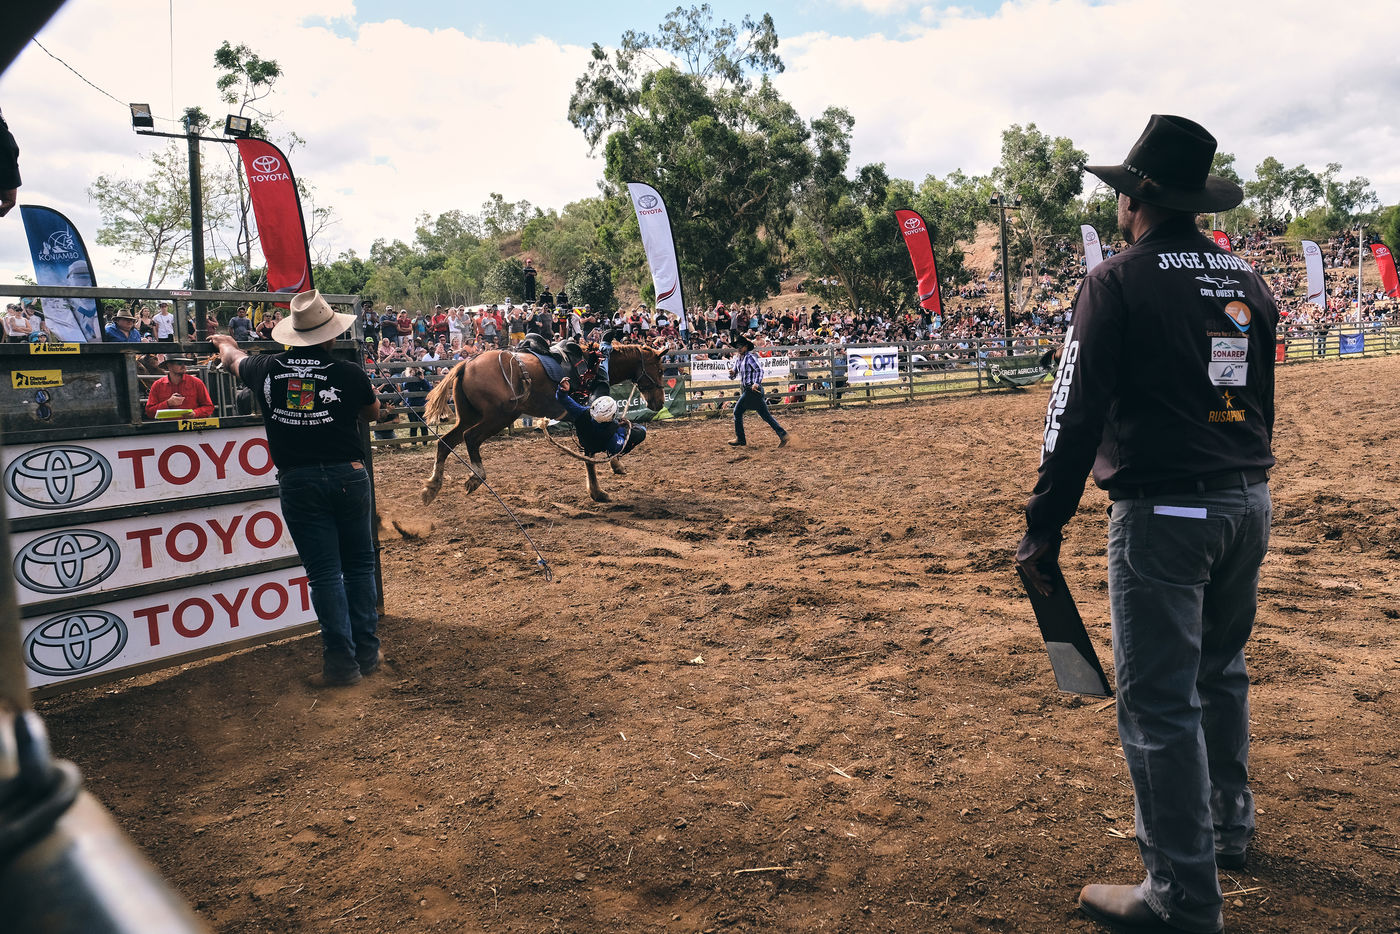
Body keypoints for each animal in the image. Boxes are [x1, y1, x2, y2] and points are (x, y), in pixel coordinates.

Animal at [418, 343, 667, 504]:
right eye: (661, 369)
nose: (659, 402)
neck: (595, 365)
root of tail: (467, 365)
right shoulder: (586, 417)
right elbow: (591, 453)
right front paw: (598, 491)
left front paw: (614, 467)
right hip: (498, 417)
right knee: (470, 438)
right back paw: (476, 477)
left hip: (469, 416)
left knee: (444, 443)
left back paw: (431, 487)